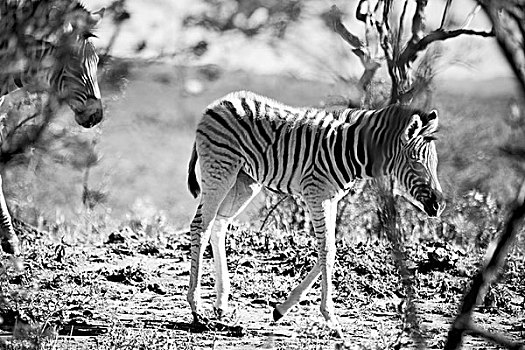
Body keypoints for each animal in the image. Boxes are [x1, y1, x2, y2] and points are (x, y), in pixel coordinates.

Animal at [186, 90, 444, 336]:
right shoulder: (317, 195)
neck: (350, 150)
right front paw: (331, 319)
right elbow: (327, 250)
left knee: (219, 224)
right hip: (220, 171)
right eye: (416, 163)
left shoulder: (331, 199)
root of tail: (218, 103)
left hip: (244, 181)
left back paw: (220, 304)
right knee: (201, 226)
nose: (439, 205)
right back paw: (196, 308)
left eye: (434, 163)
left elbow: (329, 250)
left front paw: (281, 309)